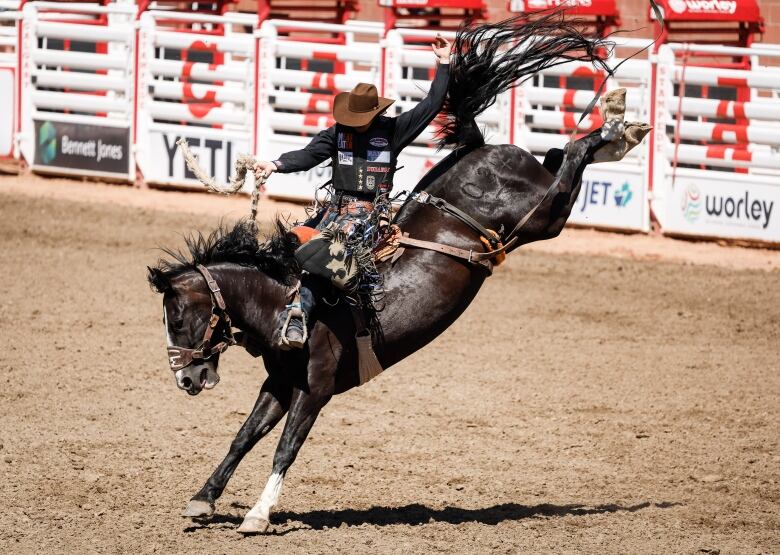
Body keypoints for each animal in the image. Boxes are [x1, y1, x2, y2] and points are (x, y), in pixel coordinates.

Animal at [146, 13, 652, 536]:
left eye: (178, 319)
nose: (186, 379)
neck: (281, 301)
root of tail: (479, 147)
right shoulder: (280, 384)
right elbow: (243, 437)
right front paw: (203, 499)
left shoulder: (314, 389)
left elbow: (285, 449)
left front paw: (258, 514)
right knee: (557, 153)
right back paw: (620, 129)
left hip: (542, 216)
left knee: (571, 160)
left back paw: (618, 122)